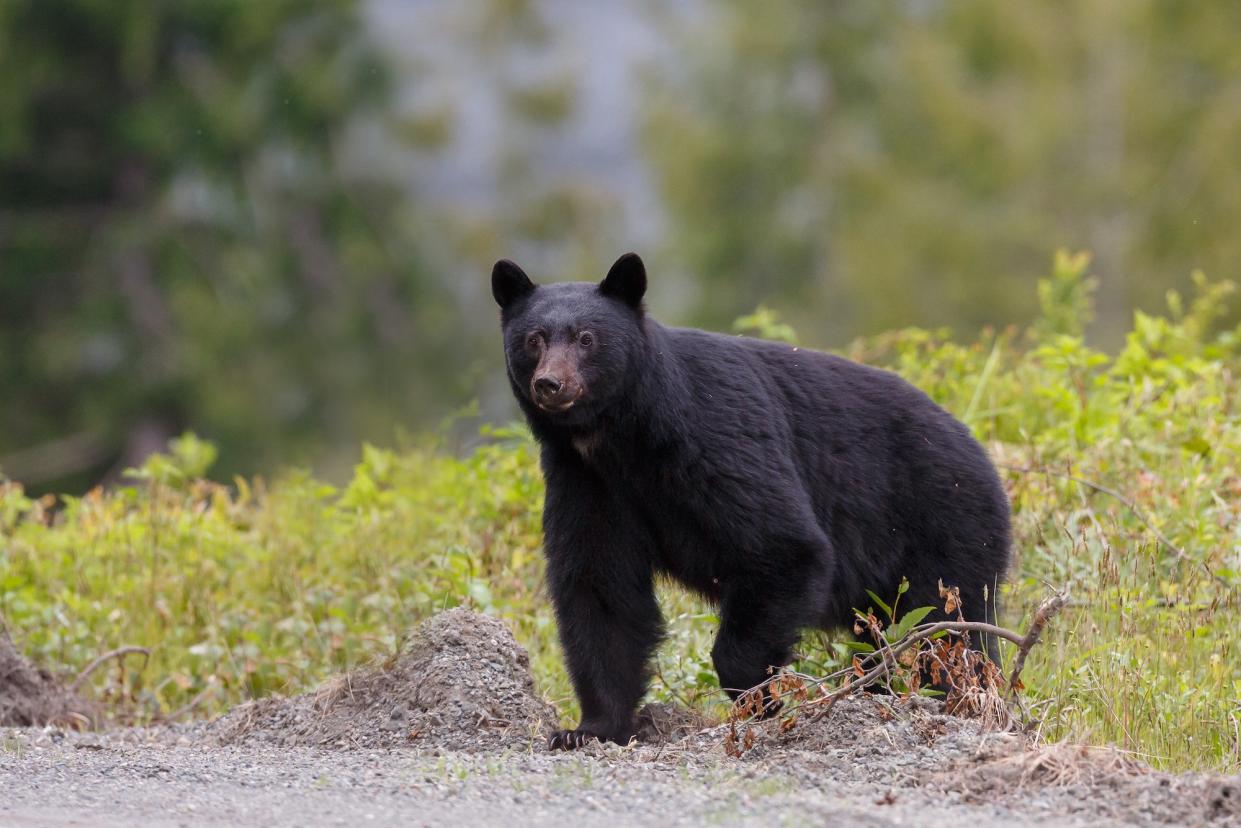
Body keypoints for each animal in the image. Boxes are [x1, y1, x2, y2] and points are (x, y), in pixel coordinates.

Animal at [488, 253, 1012, 749]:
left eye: (586, 338)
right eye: (534, 339)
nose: (550, 384)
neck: (623, 438)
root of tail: (985, 456)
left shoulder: (716, 439)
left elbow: (781, 546)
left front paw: (758, 700)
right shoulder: (587, 482)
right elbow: (601, 590)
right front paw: (590, 729)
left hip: (944, 524)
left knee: (946, 628)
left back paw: (946, 698)